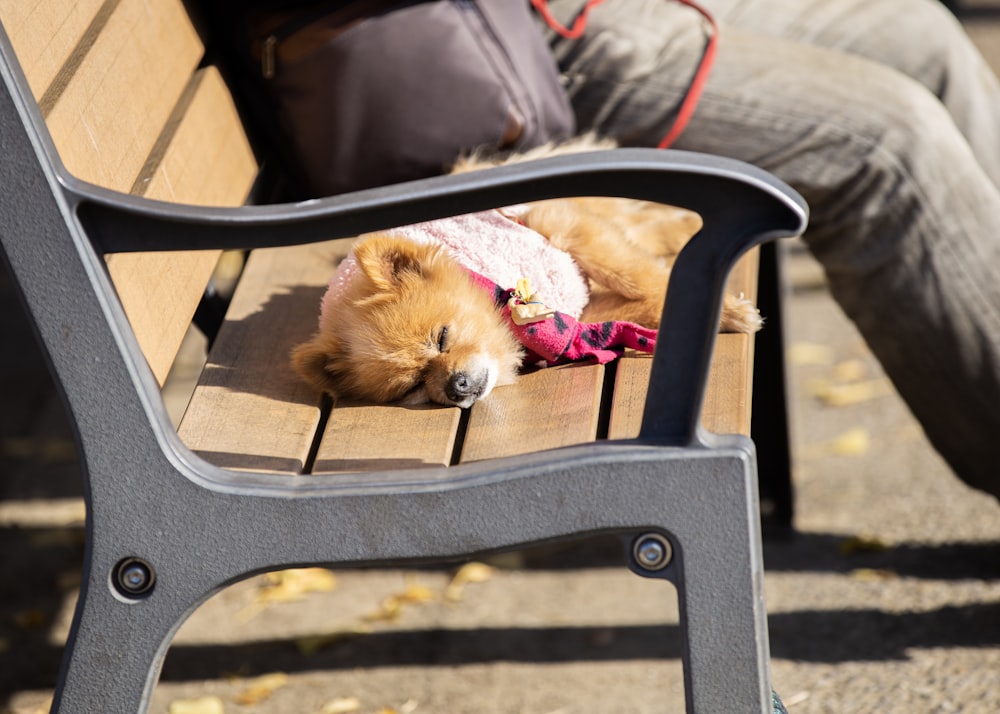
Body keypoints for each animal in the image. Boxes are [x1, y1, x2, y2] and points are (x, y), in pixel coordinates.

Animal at [292, 138, 760, 406]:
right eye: (413, 386)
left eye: (441, 337)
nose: (456, 387)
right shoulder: (580, 319)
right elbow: (641, 307)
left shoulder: (559, 226)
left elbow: (635, 274)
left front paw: (724, 311)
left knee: (636, 226)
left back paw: (684, 222)